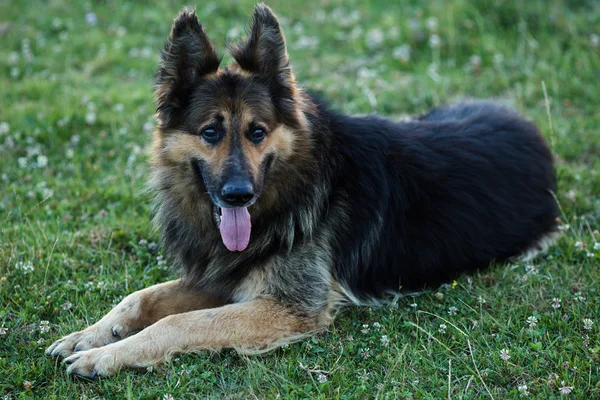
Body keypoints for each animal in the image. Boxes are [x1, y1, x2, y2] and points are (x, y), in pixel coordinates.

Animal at [45, 3, 556, 378]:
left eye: (257, 131)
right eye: (210, 132)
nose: (238, 195)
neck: (292, 190)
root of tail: (529, 128)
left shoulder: (289, 307)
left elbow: (178, 322)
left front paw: (104, 356)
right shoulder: (224, 275)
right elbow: (143, 297)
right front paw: (91, 335)